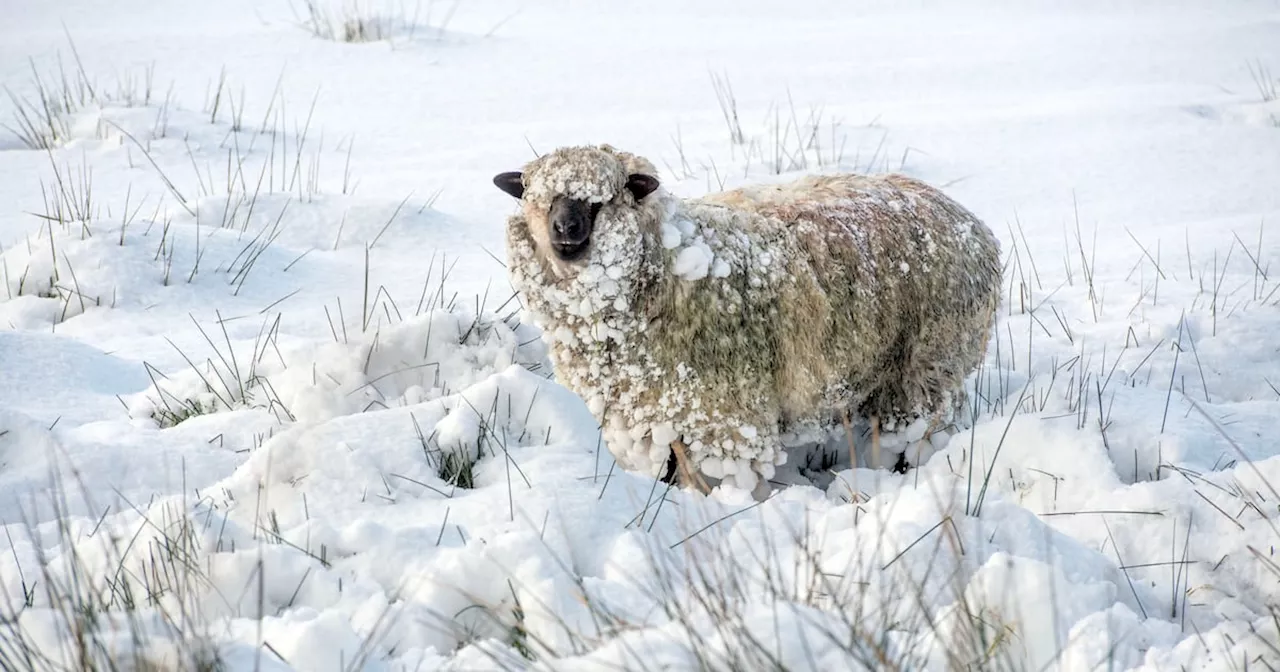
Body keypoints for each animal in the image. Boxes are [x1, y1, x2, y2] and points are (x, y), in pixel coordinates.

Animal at [488, 144, 998, 494]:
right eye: (537, 199)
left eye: (603, 201)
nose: (565, 230)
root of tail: (974, 223)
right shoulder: (644, 415)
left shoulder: (728, 415)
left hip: (927, 365)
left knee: (919, 429)